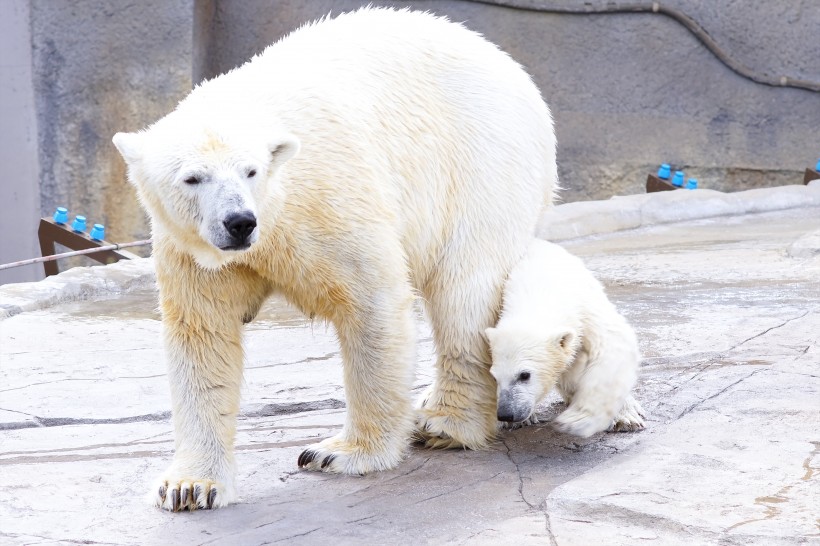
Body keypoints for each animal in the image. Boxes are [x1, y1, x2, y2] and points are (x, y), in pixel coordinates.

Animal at [113, 8, 556, 510]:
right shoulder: (191, 249)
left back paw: (445, 422)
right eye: (192, 178)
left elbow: (372, 303)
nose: (239, 222)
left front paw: (341, 453)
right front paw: (190, 485)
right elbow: (203, 334)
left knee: (463, 291)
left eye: (251, 171)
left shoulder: (328, 201)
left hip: (479, 167)